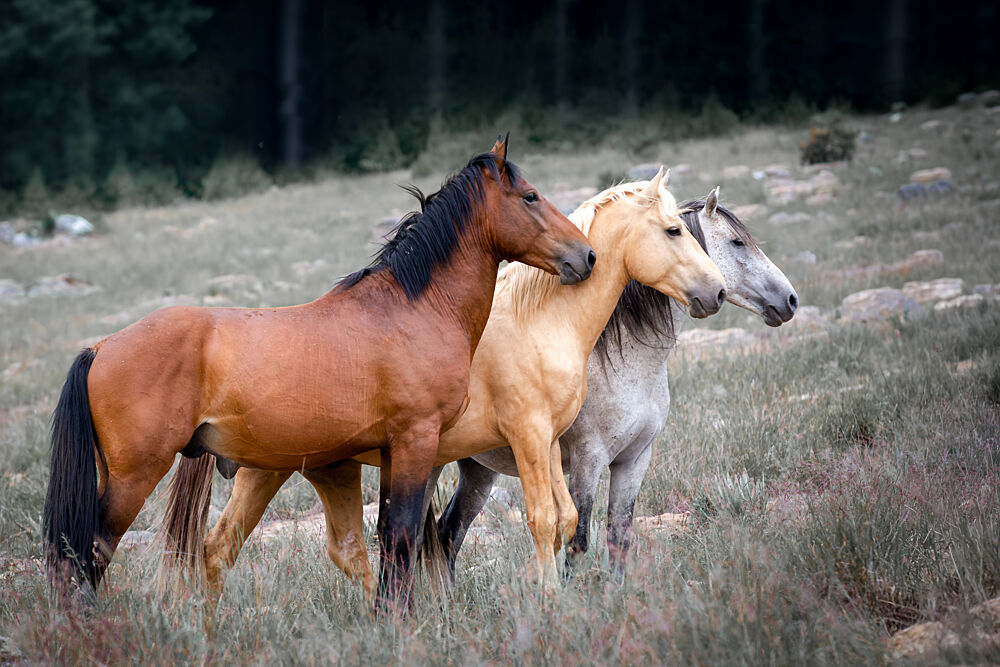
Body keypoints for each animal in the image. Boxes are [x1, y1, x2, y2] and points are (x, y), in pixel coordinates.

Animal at [42, 136, 597, 607]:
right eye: (530, 196)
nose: (586, 255)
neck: (413, 308)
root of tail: (100, 348)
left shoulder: (393, 453)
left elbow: (389, 538)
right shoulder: (416, 441)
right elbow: (402, 536)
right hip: (134, 477)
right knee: (89, 554)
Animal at [162, 167, 728, 594]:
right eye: (674, 230)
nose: (717, 292)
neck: (541, 321)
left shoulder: (549, 441)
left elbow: (564, 521)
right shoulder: (532, 438)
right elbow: (545, 520)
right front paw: (547, 597)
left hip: (301, 470)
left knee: (234, 549)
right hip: (273, 471)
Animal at [434, 187, 798, 576]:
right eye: (737, 242)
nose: (790, 299)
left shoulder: (633, 461)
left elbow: (619, 539)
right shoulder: (587, 462)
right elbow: (578, 542)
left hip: (477, 470)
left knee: (449, 533)